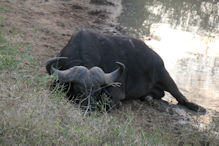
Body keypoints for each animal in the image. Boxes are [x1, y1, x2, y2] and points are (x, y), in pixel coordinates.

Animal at [45, 28, 206, 113]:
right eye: (79, 90)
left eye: (97, 91)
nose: (90, 108)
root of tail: (156, 56)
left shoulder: (115, 94)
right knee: (159, 94)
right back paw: (148, 98)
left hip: (164, 75)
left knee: (179, 95)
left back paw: (196, 107)